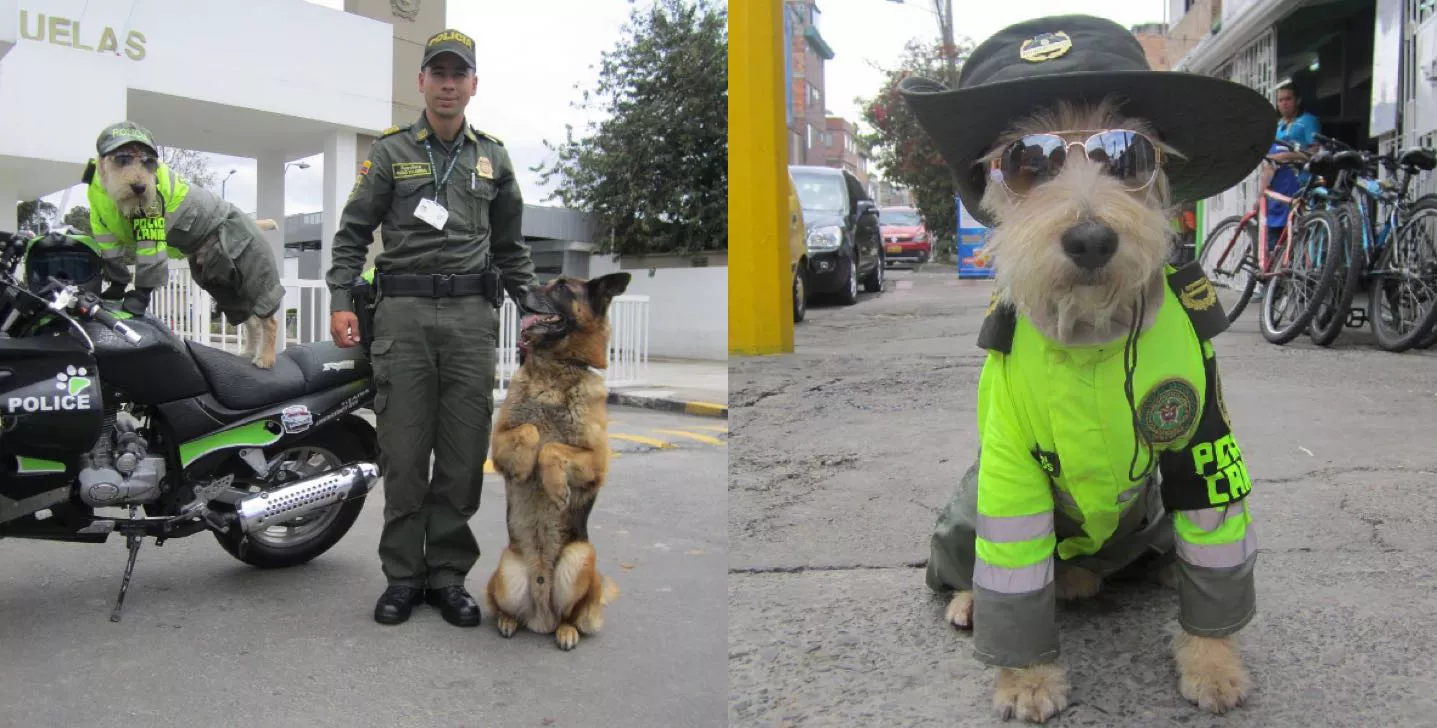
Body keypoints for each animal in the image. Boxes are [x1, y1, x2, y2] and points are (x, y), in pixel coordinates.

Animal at [902, 14, 1276, 726]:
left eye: (1130, 155)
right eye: (1026, 160)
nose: (1092, 240)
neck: (1091, 341)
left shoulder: (1204, 445)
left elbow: (1214, 548)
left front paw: (1213, 663)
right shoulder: (1009, 468)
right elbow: (1013, 575)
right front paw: (1026, 679)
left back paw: (1142, 571)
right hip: (968, 500)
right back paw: (974, 598)